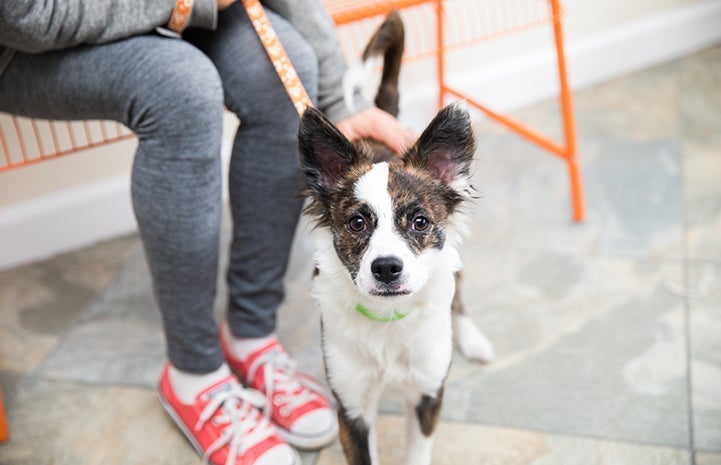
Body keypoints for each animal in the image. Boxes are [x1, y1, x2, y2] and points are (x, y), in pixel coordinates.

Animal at [296, 10, 492, 464]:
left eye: (419, 222)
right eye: (357, 223)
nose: (386, 268)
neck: (387, 319)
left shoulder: (427, 395)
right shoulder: (351, 408)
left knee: (459, 293)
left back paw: (471, 338)